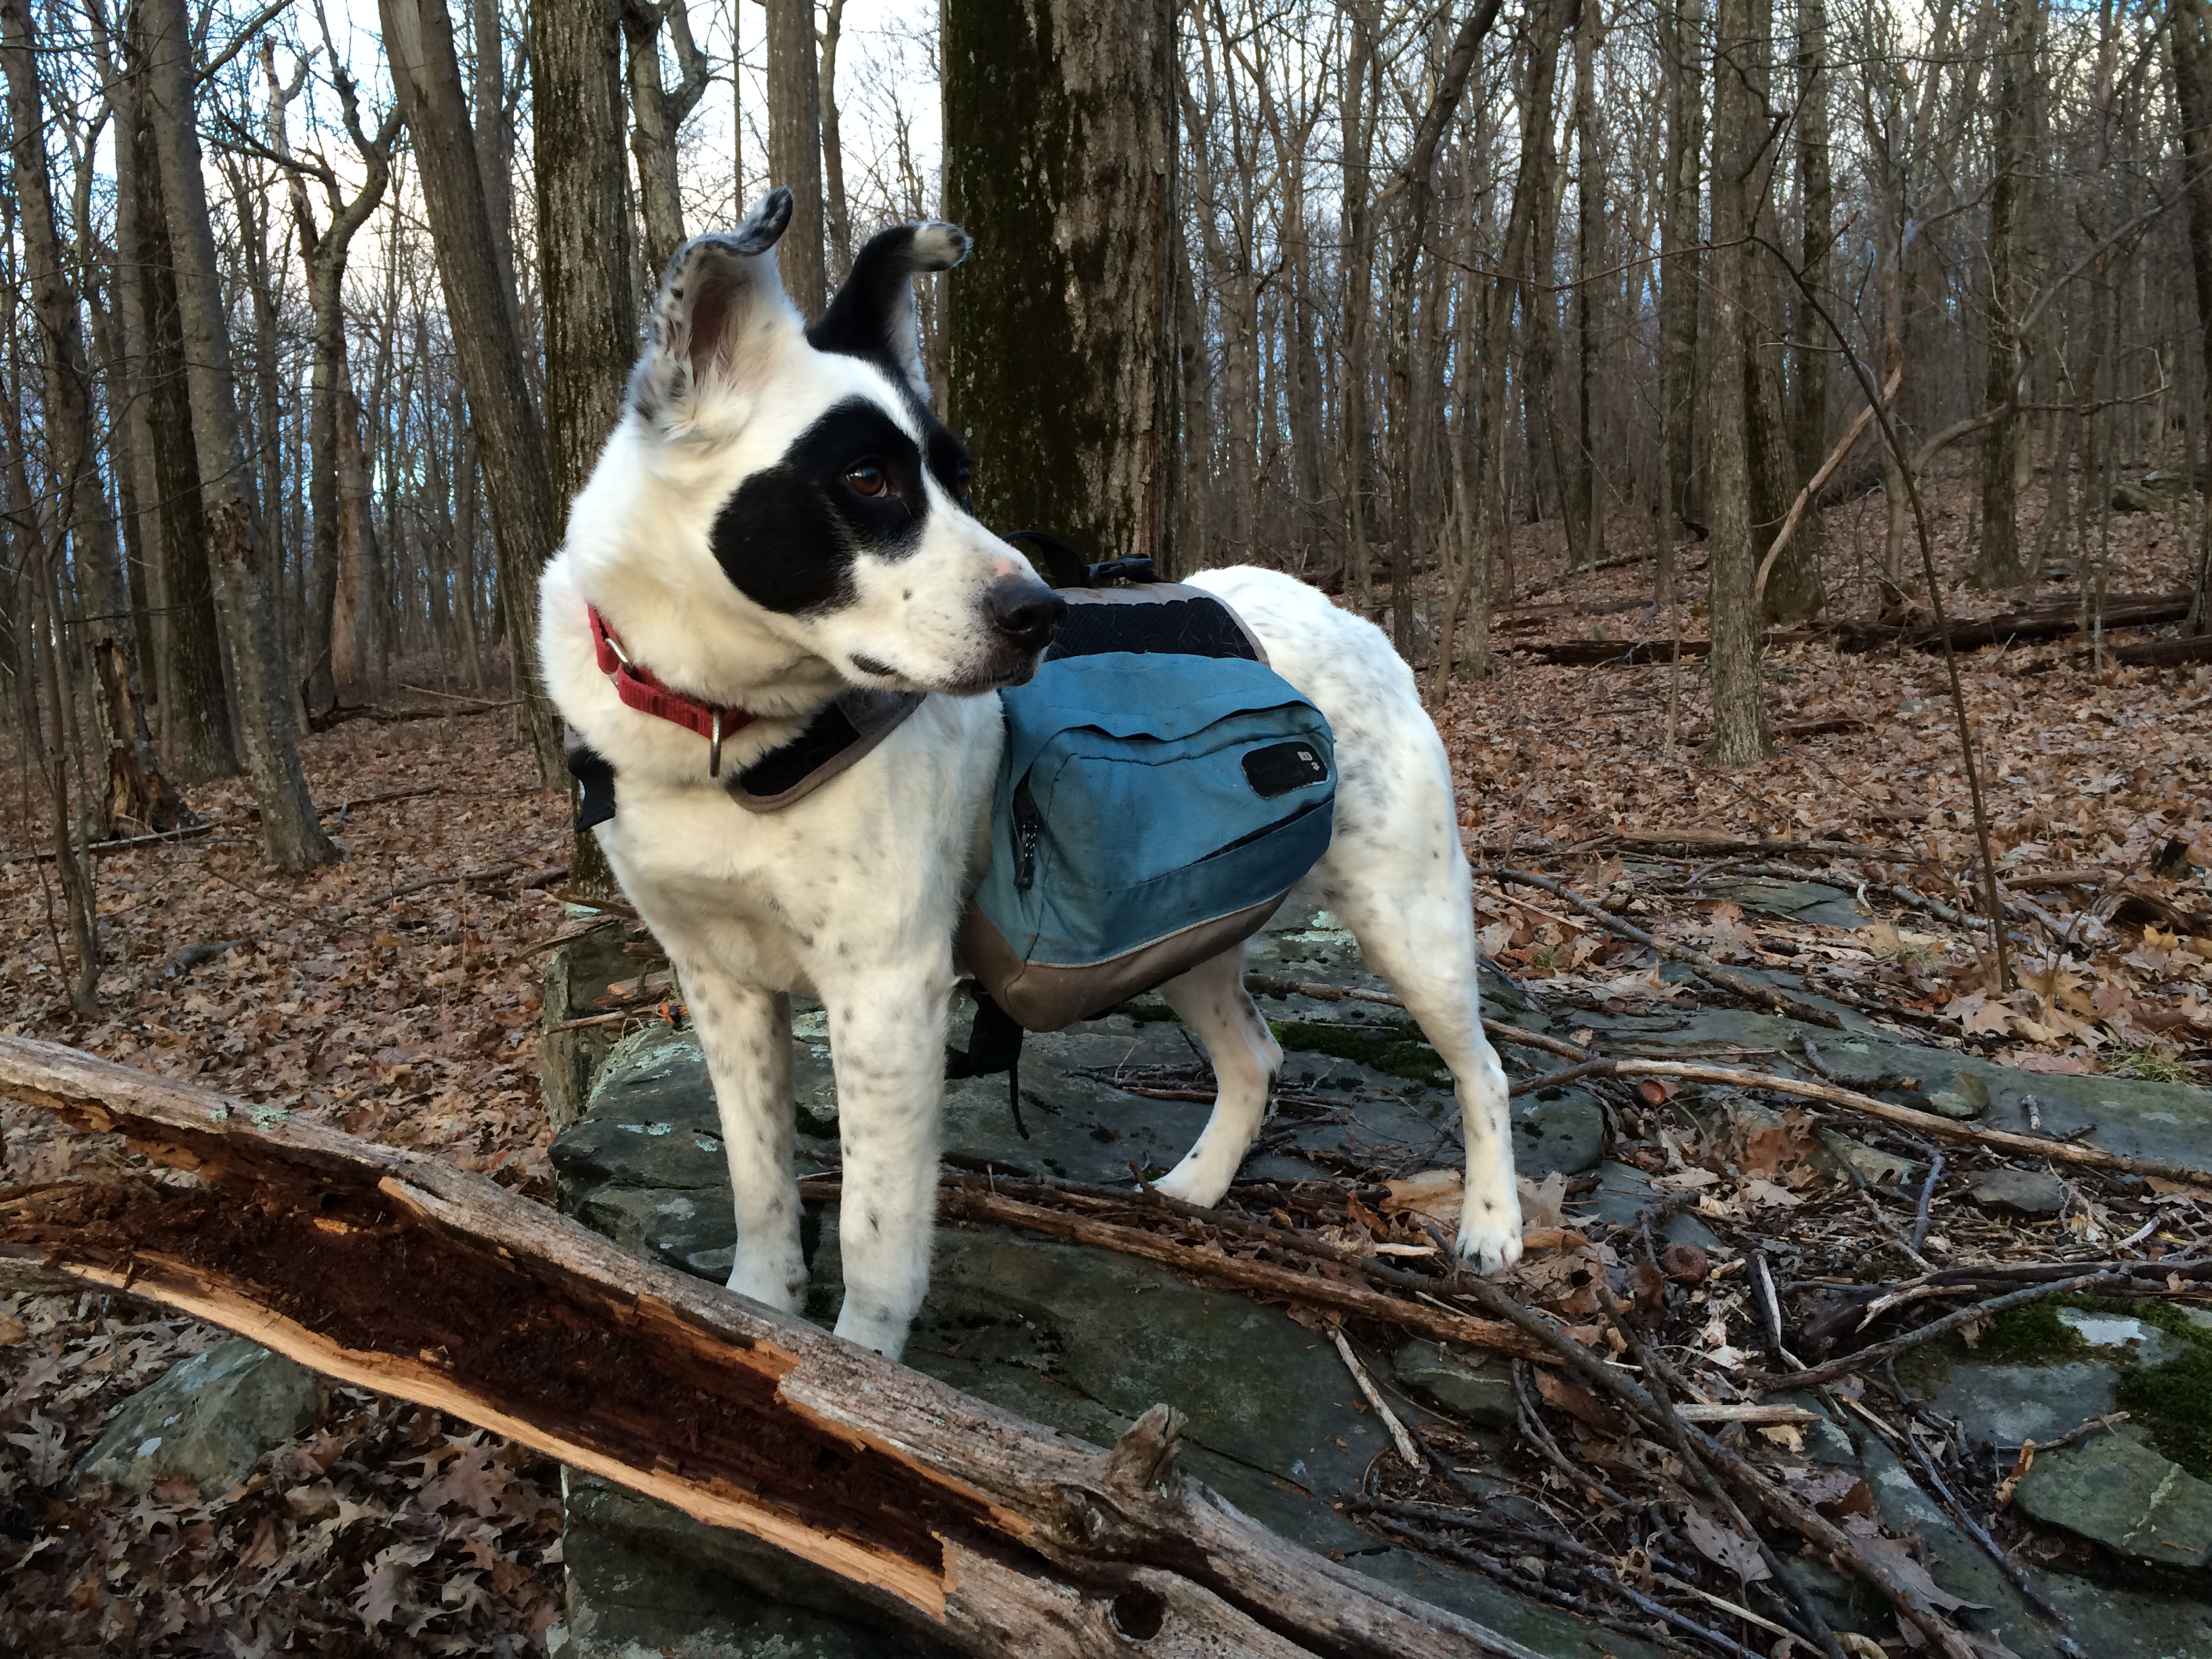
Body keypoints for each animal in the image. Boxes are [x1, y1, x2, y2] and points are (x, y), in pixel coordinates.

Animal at [538, 188, 1523, 1358]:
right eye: (867, 478)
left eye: (959, 477)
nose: (1041, 612)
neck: (734, 730)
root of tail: (1357, 621)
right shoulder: (722, 986)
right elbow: (759, 1185)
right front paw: (755, 1317)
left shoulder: (886, 998)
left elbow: (874, 1231)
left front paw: (859, 1371)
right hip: (1183, 929)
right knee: (1257, 1058)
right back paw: (1197, 1187)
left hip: (1407, 917)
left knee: (1482, 1068)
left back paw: (1494, 1226)